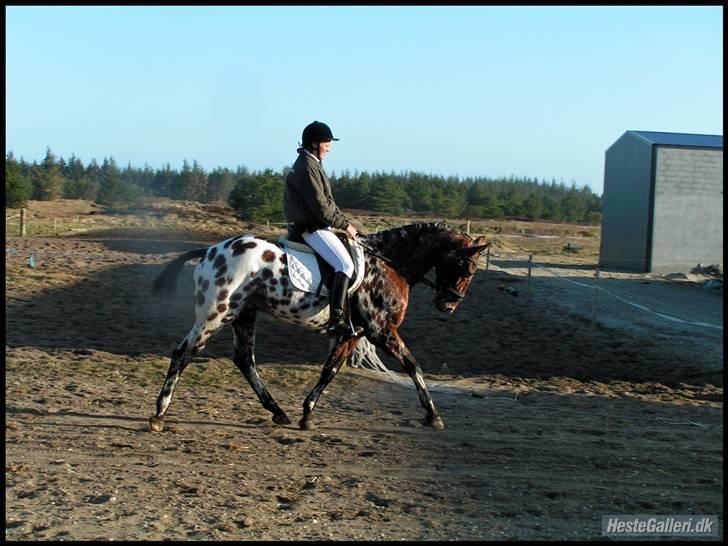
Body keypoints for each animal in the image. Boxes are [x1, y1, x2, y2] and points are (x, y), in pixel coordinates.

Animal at [148, 220, 490, 430]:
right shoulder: (381, 330)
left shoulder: (354, 333)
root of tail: (208, 251)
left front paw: (307, 413)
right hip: (216, 313)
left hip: (244, 314)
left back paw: (278, 412)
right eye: (466, 266)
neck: (390, 264)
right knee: (183, 353)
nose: (448, 305)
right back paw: (159, 414)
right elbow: (413, 365)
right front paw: (433, 415)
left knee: (245, 360)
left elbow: (330, 370)